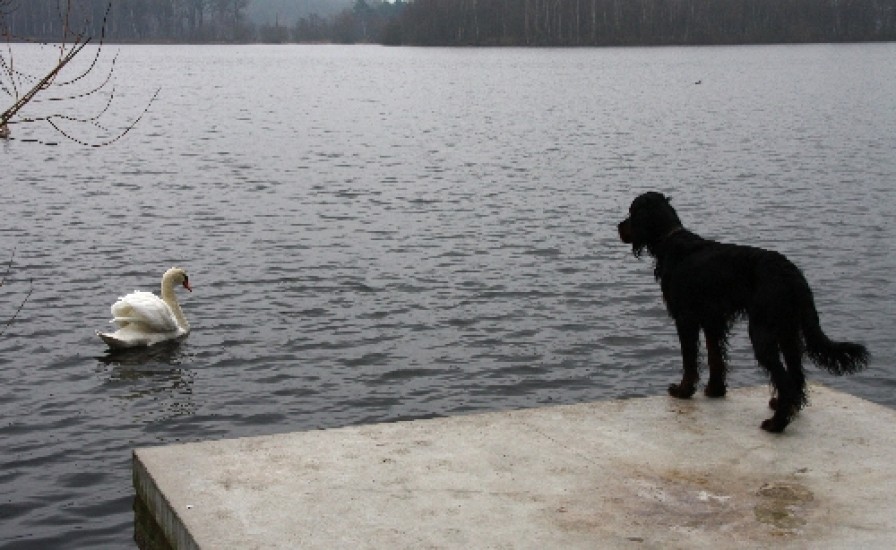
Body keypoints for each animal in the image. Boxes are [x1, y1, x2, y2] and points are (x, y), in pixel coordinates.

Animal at [617, 192, 868, 432]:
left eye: (632, 212)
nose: (619, 226)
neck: (671, 241)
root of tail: (792, 274)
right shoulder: (712, 319)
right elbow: (715, 356)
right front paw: (715, 390)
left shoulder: (685, 317)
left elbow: (689, 359)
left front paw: (683, 390)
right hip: (788, 331)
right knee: (795, 372)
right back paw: (787, 406)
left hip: (762, 330)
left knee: (784, 378)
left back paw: (776, 424)